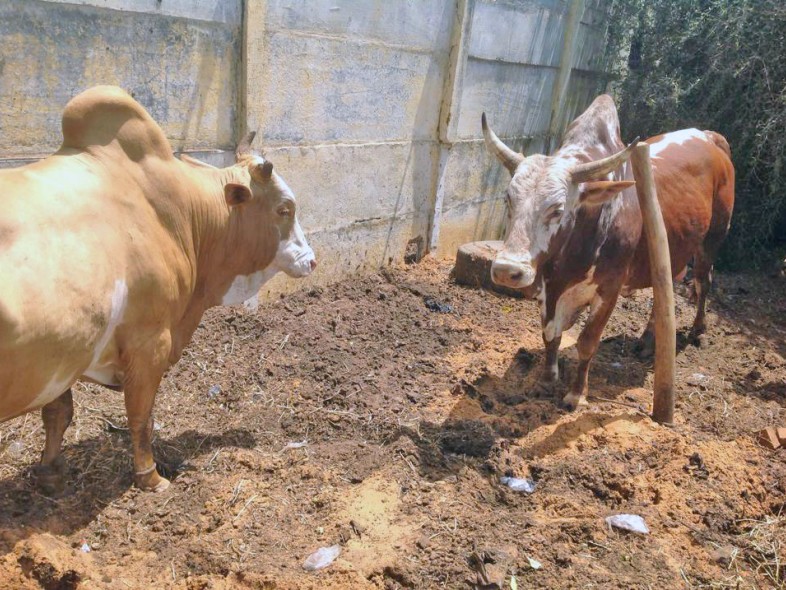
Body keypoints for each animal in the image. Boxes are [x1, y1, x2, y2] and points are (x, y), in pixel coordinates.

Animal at [3, 85, 316, 494]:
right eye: (284, 209)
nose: (311, 260)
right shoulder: (150, 342)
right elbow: (141, 416)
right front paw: (150, 478)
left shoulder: (65, 351)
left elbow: (58, 412)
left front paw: (50, 472)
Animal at [480, 96, 732, 412]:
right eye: (508, 199)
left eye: (557, 209)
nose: (506, 270)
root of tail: (709, 136)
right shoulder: (548, 289)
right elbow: (551, 334)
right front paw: (547, 379)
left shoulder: (609, 288)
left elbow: (587, 341)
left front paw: (576, 394)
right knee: (665, 286)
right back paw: (648, 340)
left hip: (712, 240)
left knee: (703, 281)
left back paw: (698, 330)